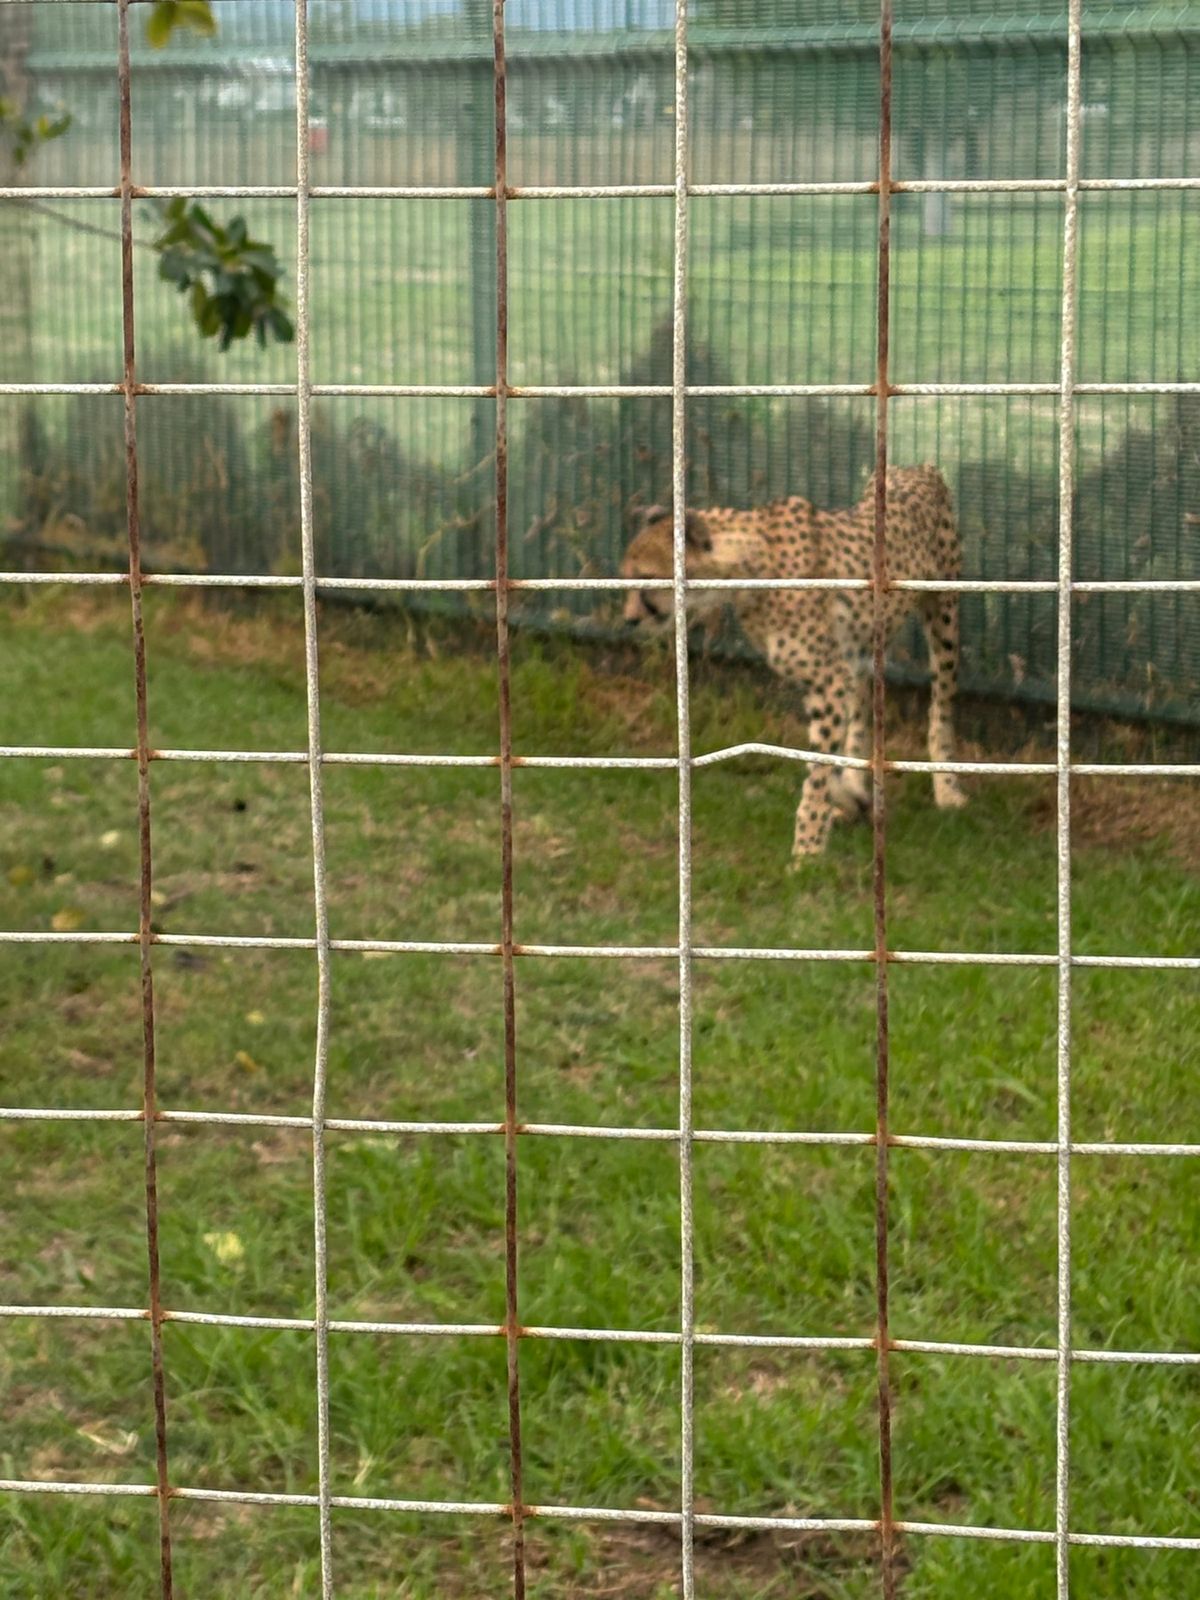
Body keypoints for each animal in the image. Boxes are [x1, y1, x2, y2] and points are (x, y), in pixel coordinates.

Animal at [619, 464, 968, 861]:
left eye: (646, 578)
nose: (629, 620)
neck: (748, 567)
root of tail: (915, 467)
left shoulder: (830, 682)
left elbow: (818, 771)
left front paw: (808, 847)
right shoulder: (830, 679)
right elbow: (824, 760)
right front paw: (850, 799)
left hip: (943, 617)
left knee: (940, 706)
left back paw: (947, 790)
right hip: (863, 644)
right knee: (864, 710)